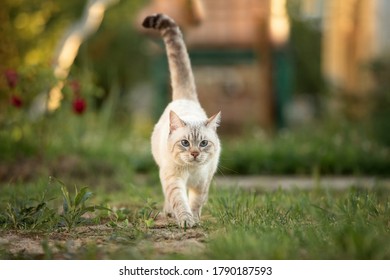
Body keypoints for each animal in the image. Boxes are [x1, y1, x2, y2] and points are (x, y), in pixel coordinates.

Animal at [143, 13, 222, 228]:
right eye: (185, 143)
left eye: (203, 143)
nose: (194, 153)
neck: (191, 172)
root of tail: (185, 98)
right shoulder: (174, 180)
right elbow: (180, 201)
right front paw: (186, 221)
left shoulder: (202, 184)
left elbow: (196, 203)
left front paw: (195, 220)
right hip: (163, 171)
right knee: (168, 198)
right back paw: (169, 212)